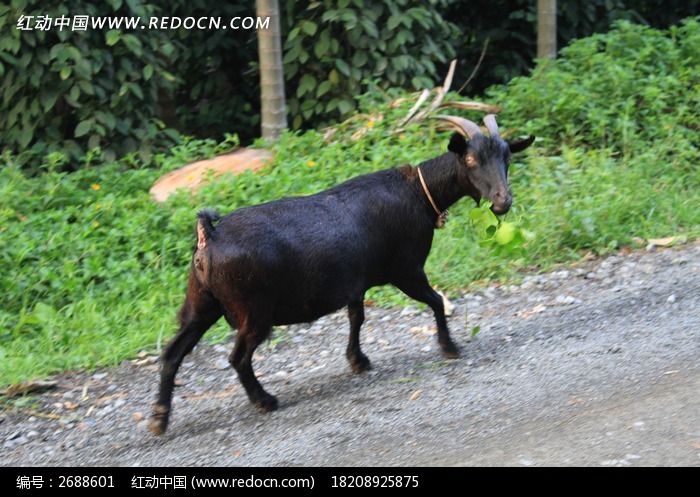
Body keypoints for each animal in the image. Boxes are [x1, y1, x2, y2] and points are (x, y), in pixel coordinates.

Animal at [149, 114, 536, 432]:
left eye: (507, 158)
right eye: (471, 159)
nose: (503, 201)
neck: (420, 193)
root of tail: (209, 235)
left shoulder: (356, 282)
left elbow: (356, 317)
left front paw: (358, 361)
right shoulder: (406, 269)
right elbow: (436, 301)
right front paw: (449, 346)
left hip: (201, 302)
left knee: (172, 353)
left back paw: (159, 418)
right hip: (253, 310)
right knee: (237, 357)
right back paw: (264, 401)